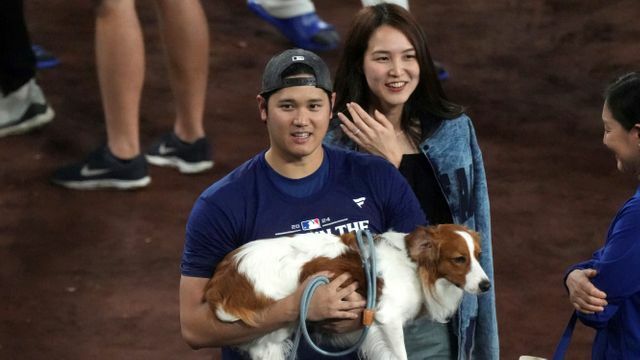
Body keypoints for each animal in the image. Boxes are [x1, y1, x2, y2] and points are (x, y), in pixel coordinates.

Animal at [205, 224, 490, 358]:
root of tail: (226, 273)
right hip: (274, 332)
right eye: (459, 259)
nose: (486, 285)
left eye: (478, 256)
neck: (414, 265)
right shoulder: (387, 320)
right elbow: (401, 354)